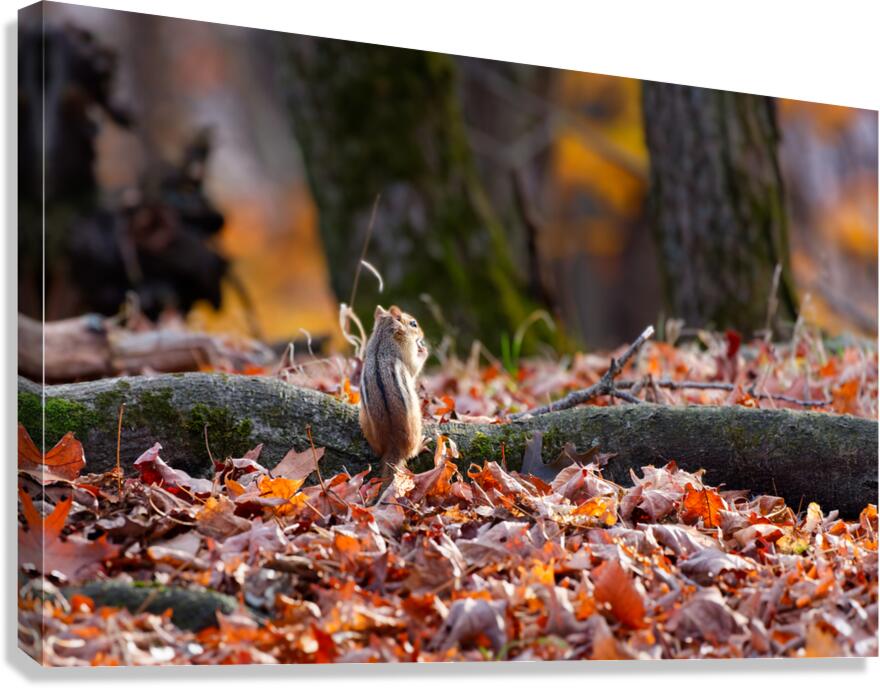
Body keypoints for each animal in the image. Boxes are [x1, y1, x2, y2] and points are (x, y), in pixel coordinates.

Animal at [359, 305, 428, 482]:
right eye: (413, 324)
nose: (422, 334)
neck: (382, 336)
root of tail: (393, 446)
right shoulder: (407, 354)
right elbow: (415, 367)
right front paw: (423, 350)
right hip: (417, 422)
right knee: (411, 453)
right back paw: (421, 444)